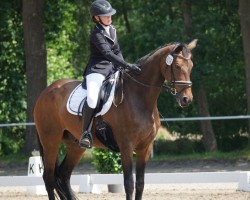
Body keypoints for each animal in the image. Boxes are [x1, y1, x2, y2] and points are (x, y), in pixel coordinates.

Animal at [33, 39, 197, 200]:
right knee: (49, 177)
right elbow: (129, 184)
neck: (139, 97)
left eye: (191, 66)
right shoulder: (126, 146)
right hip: (50, 141)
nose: (186, 99)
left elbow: (140, 184)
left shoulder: (145, 147)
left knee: (63, 175)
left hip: (75, 145)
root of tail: (46, 92)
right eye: (177, 66)